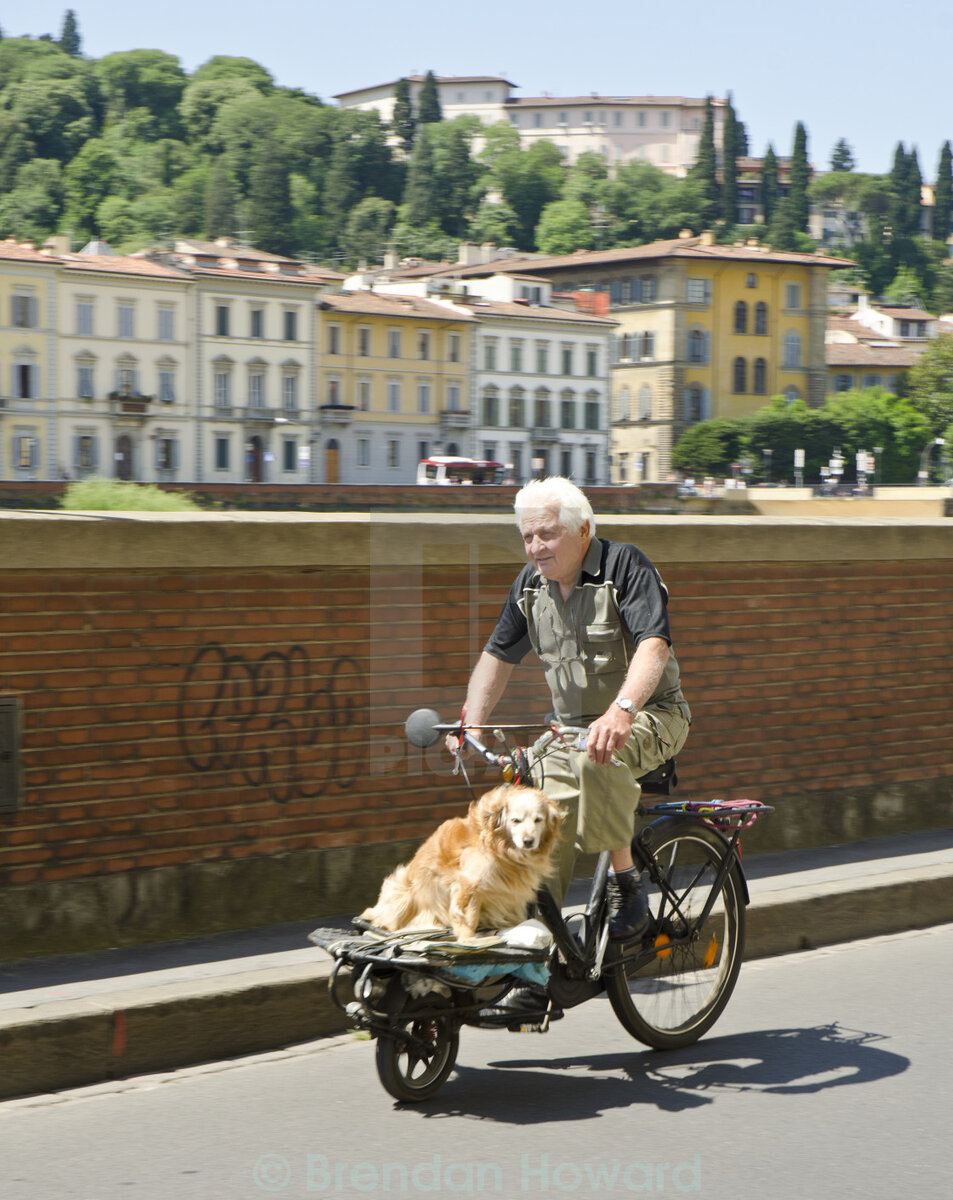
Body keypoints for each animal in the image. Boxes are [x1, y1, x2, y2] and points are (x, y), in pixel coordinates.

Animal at [360, 787, 561, 945]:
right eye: (516, 820)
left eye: (538, 820)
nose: (528, 841)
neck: (500, 849)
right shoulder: (470, 885)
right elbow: (468, 916)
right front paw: (468, 938)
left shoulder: (510, 895)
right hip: (401, 895)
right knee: (378, 914)